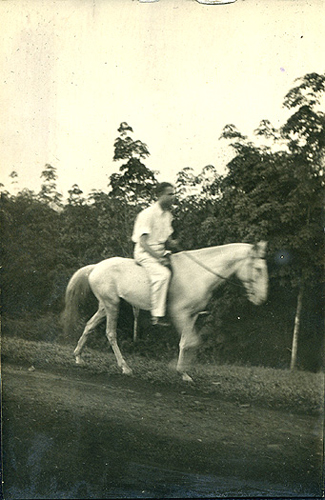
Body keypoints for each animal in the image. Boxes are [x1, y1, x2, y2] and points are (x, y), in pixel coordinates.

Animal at [62, 241, 268, 378]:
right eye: (258, 269)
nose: (261, 299)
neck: (198, 273)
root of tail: (96, 266)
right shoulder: (180, 314)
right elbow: (191, 341)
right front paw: (179, 369)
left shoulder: (192, 316)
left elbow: (188, 342)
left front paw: (185, 372)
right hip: (112, 305)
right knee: (111, 333)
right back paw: (125, 367)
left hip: (105, 306)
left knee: (89, 325)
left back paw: (78, 356)